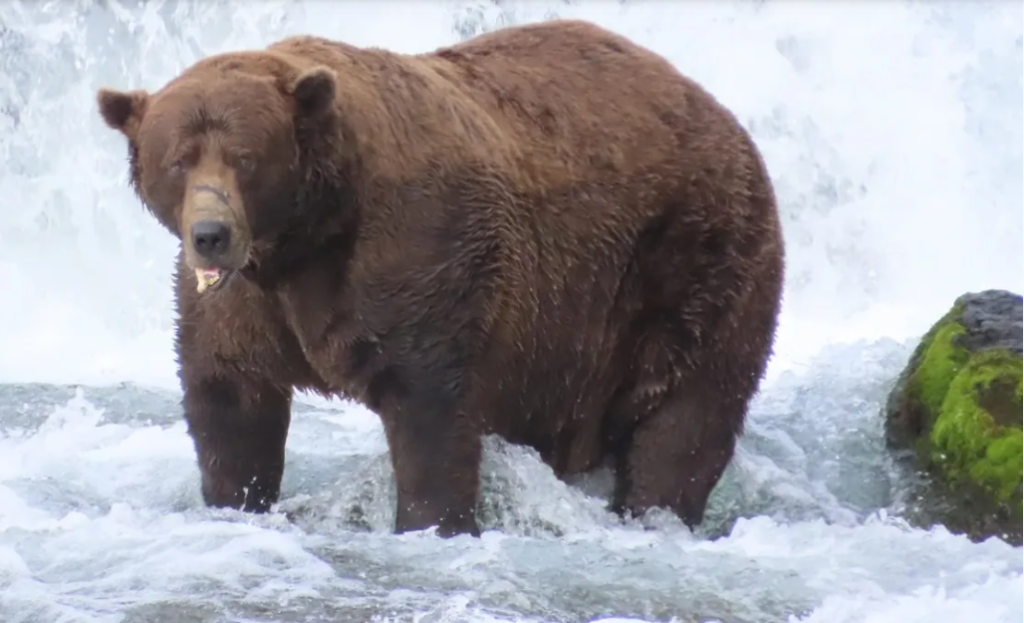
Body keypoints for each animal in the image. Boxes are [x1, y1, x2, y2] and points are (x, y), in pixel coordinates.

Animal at [95, 18, 785, 538]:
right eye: (178, 160)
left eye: (245, 158)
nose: (211, 233)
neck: (306, 239)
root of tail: (724, 116)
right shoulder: (243, 304)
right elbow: (230, 399)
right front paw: (236, 498)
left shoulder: (419, 254)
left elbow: (429, 408)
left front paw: (432, 521)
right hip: (570, 341)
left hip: (692, 261)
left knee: (686, 416)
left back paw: (656, 511)